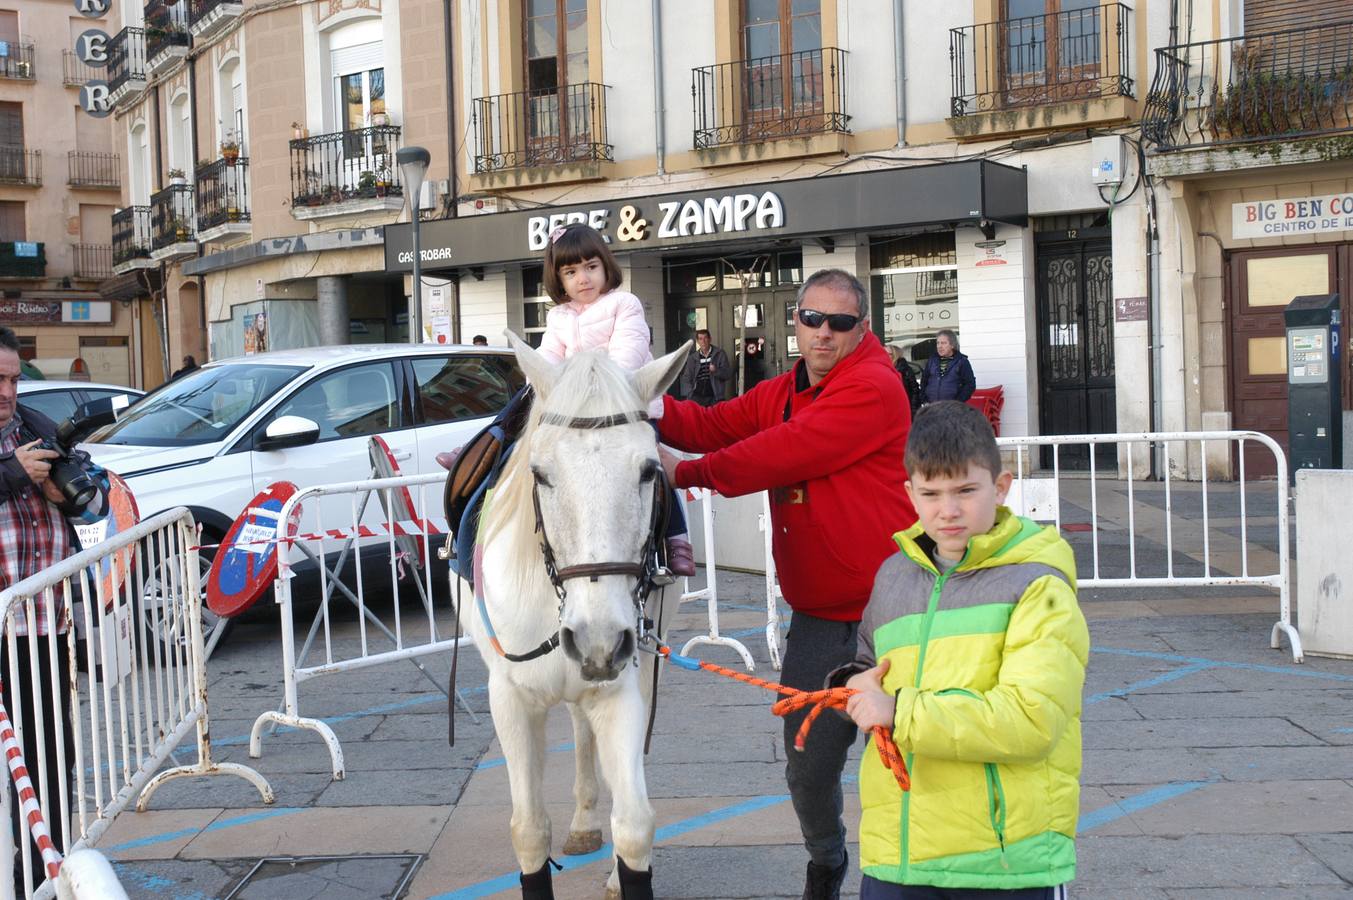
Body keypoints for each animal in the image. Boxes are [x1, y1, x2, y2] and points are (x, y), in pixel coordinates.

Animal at [470, 332, 692, 893]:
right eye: (540, 474)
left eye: (649, 471)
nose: (598, 640)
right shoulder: (509, 698)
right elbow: (528, 829)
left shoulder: (622, 685)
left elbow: (635, 824)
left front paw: (621, 870)